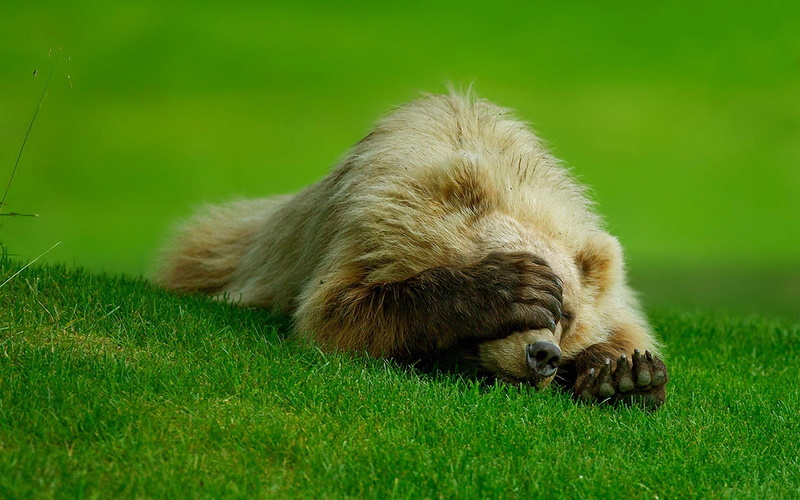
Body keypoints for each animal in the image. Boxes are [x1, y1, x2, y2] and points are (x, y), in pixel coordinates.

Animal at [155, 91, 668, 408]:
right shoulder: (368, 227)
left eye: (567, 314)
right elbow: (338, 313)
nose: (542, 355)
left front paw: (625, 375)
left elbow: (624, 330)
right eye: (547, 299)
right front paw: (506, 289)